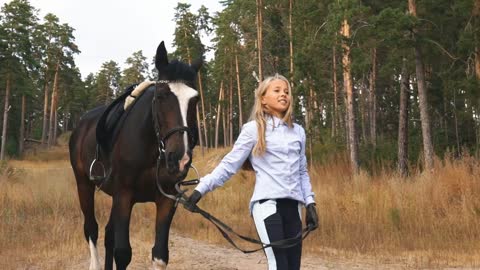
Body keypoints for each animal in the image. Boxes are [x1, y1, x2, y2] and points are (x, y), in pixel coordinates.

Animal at [69, 40, 201, 270]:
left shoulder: (167, 198)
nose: (179, 158)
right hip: (84, 184)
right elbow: (123, 253)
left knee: (108, 234)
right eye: (160, 95)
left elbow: (160, 255)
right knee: (91, 229)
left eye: (195, 100)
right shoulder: (124, 195)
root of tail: (81, 125)